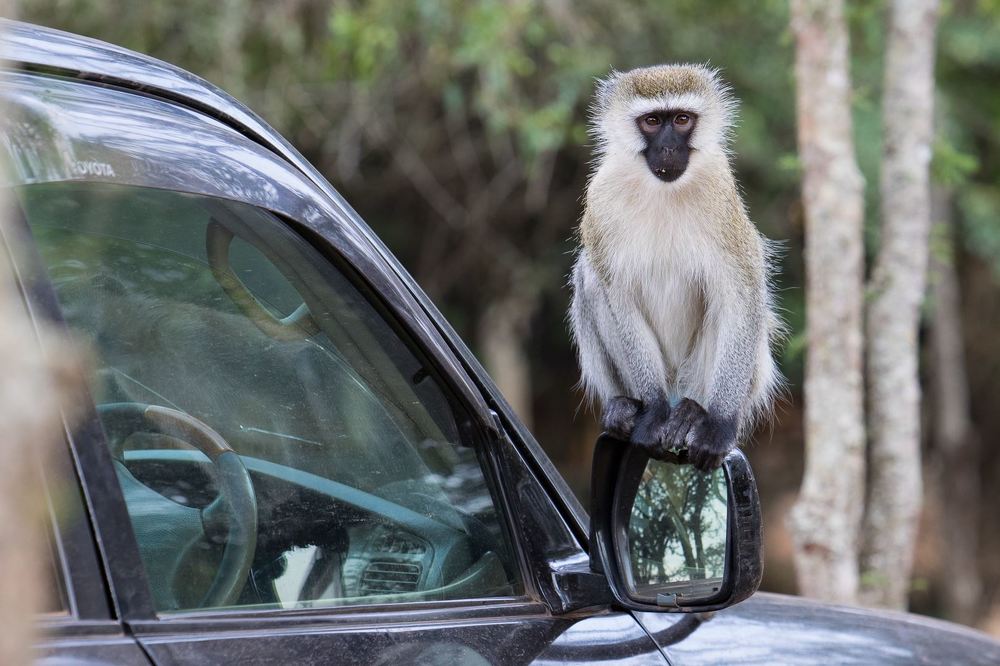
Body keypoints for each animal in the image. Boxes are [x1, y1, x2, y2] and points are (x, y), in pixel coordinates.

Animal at [569, 64, 784, 471]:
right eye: (652, 121)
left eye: (682, 120)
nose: (669, 147)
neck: (662, 191)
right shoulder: (599, 199)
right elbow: (616, 293)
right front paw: (652, 412)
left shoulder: (721, 193)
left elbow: (741, 294)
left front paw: (718, 425)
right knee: (588, 278)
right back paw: (626, 407)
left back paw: (693, 412)